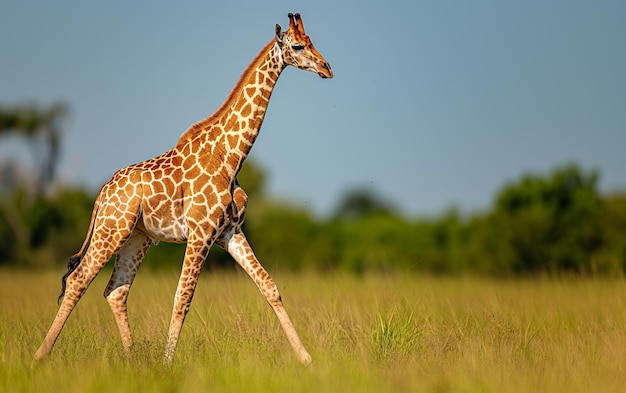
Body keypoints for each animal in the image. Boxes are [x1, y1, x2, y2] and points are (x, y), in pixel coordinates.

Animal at [34, 13, 334, 368]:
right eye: (298, 46)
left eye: (313, 41)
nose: (327, 67)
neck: (231, 156)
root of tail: (102, 193)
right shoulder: (201, 233)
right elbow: (183, 298)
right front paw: (167, 364)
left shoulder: (230, 232)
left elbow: (270, 286)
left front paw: (307, 359)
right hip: (112, 230)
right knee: (78, 280)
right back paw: (40, 354)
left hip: (137, 238)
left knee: (116, 291)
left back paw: (133, 359)